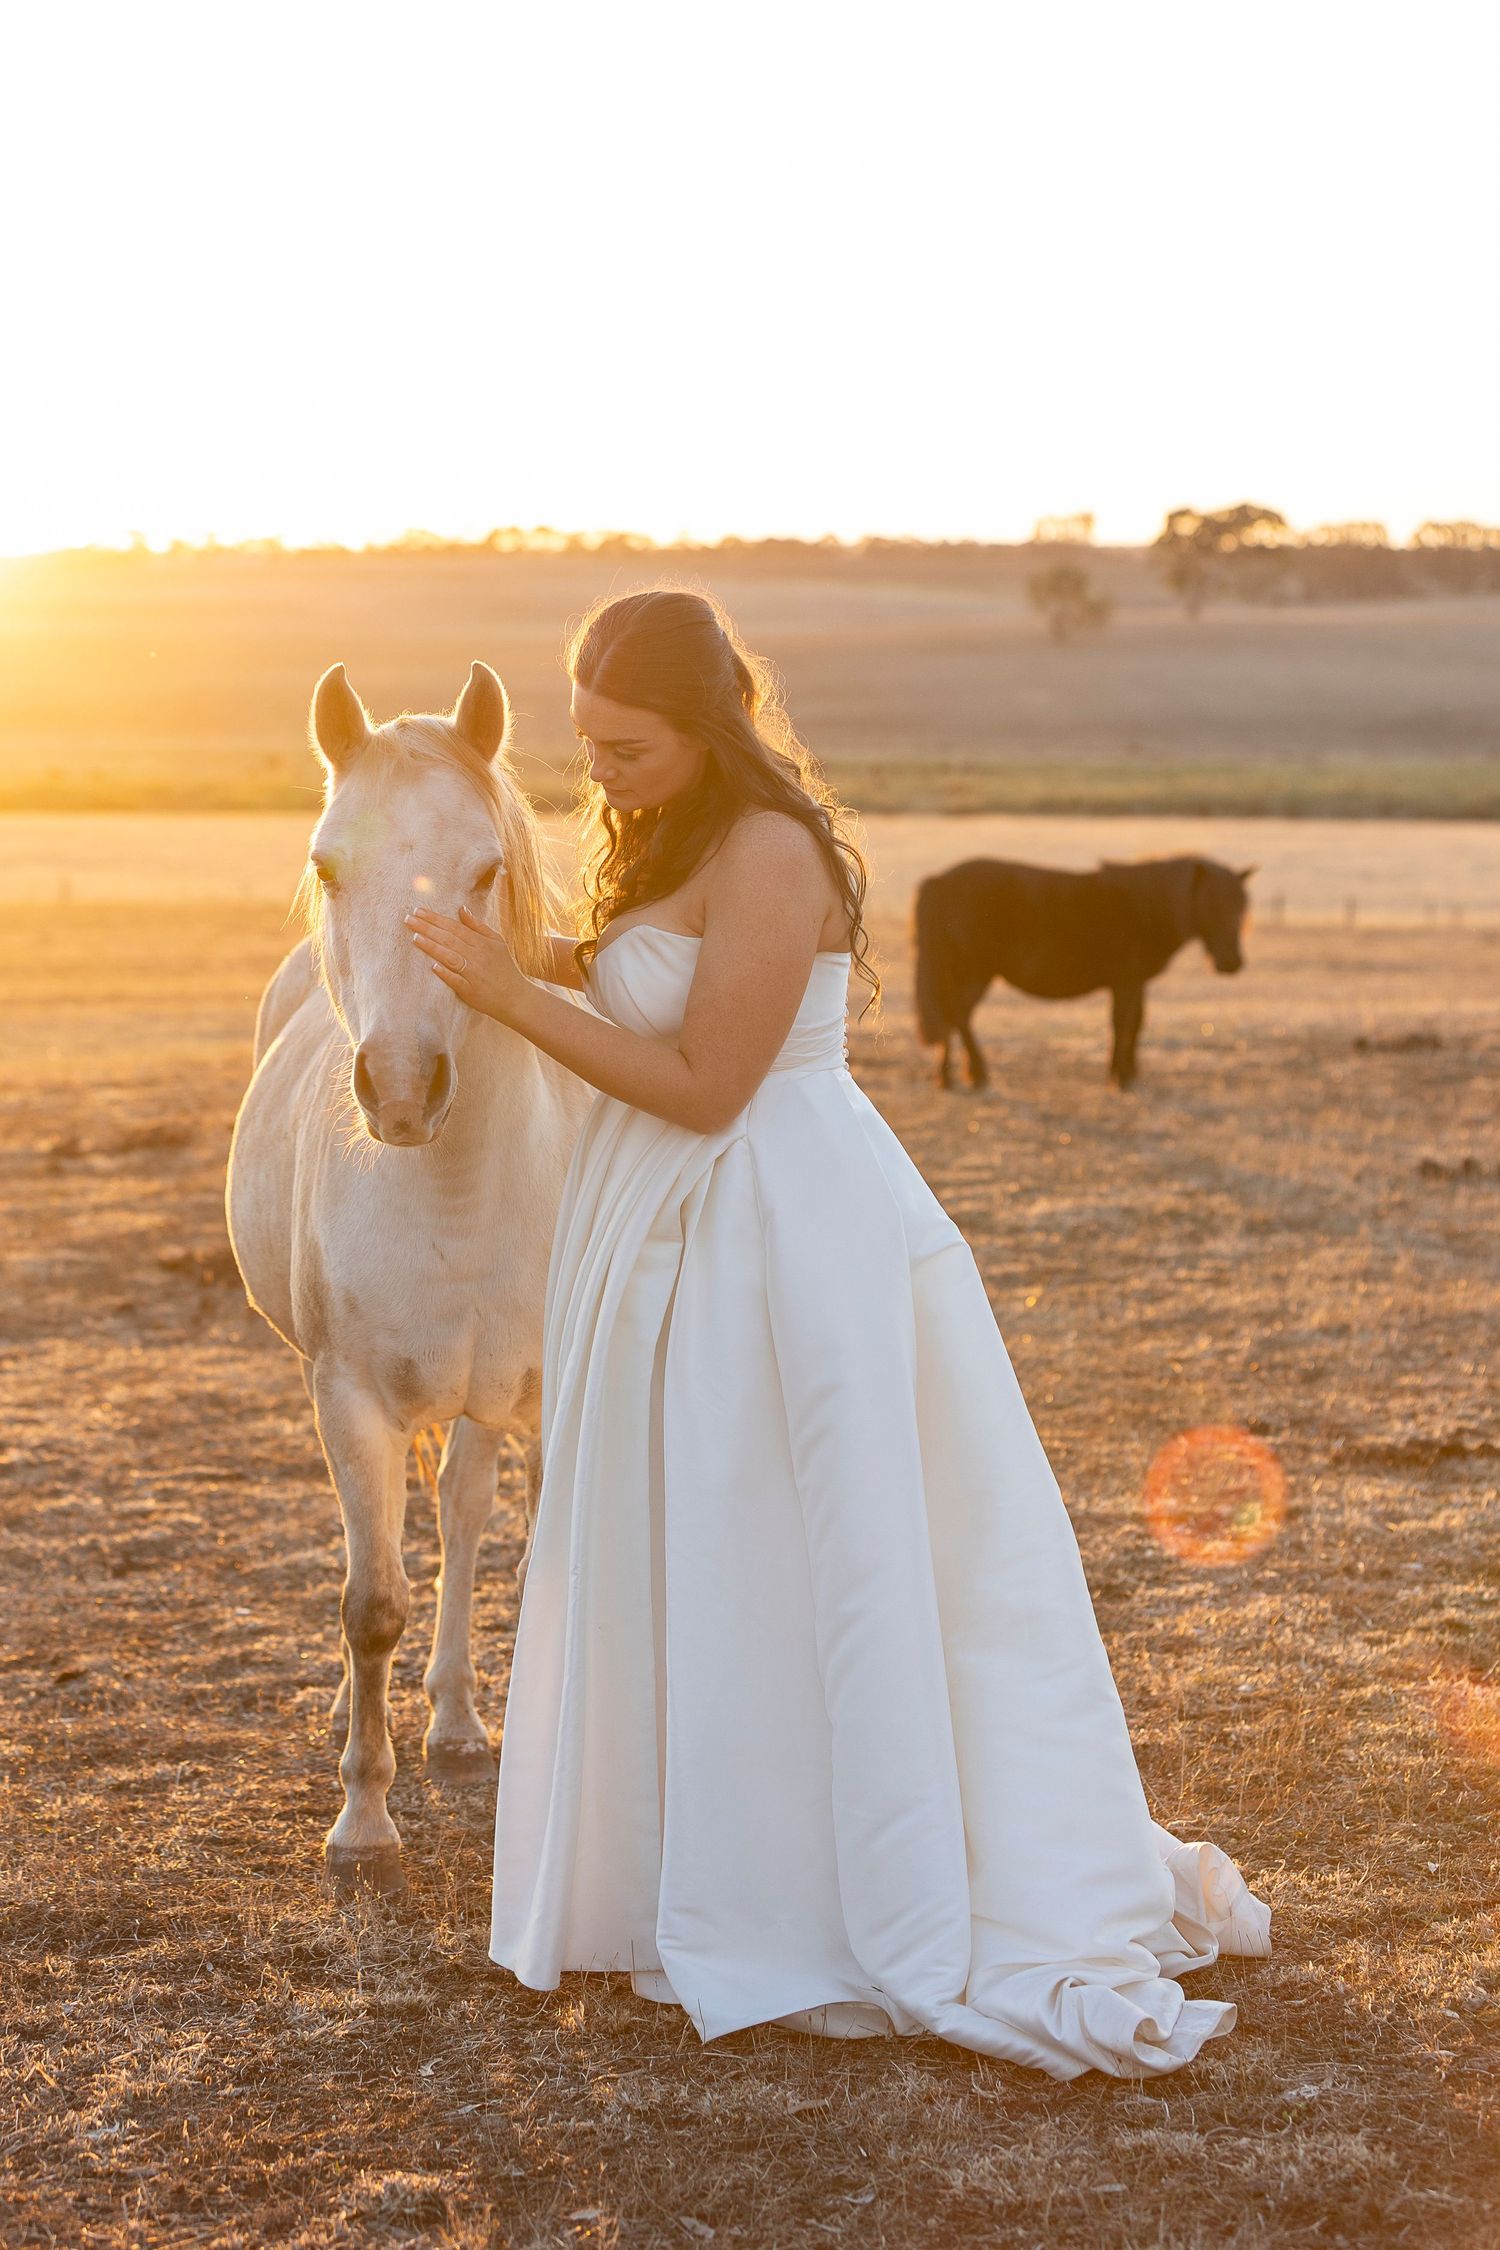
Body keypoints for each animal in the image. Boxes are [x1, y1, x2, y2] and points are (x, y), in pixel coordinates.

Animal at [226, 661, 595, 1893]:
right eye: (327, 865)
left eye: (484, 871)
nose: (397, 1087)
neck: (456, 1197)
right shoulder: (349, 1399)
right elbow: (372, 1603)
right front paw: (363, 1824)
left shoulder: (550, 1394)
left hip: (484, 1400)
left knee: (463, 1514)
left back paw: (456, 1723)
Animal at [913, 854, 1254, 1091]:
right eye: (1211, 904)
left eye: (1241, 906)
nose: (1232, 963)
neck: (1146, 907)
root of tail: (938, 880)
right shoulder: (1126, 981)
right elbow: (1123, 1024)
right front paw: (1121, 1078)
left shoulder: (1135, 982)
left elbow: (1136, 1022)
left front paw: (1129, 1072)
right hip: (972, 971)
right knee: (957, 1015)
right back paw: (974, 1074)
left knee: (953, 1017)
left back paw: (949, 1076)